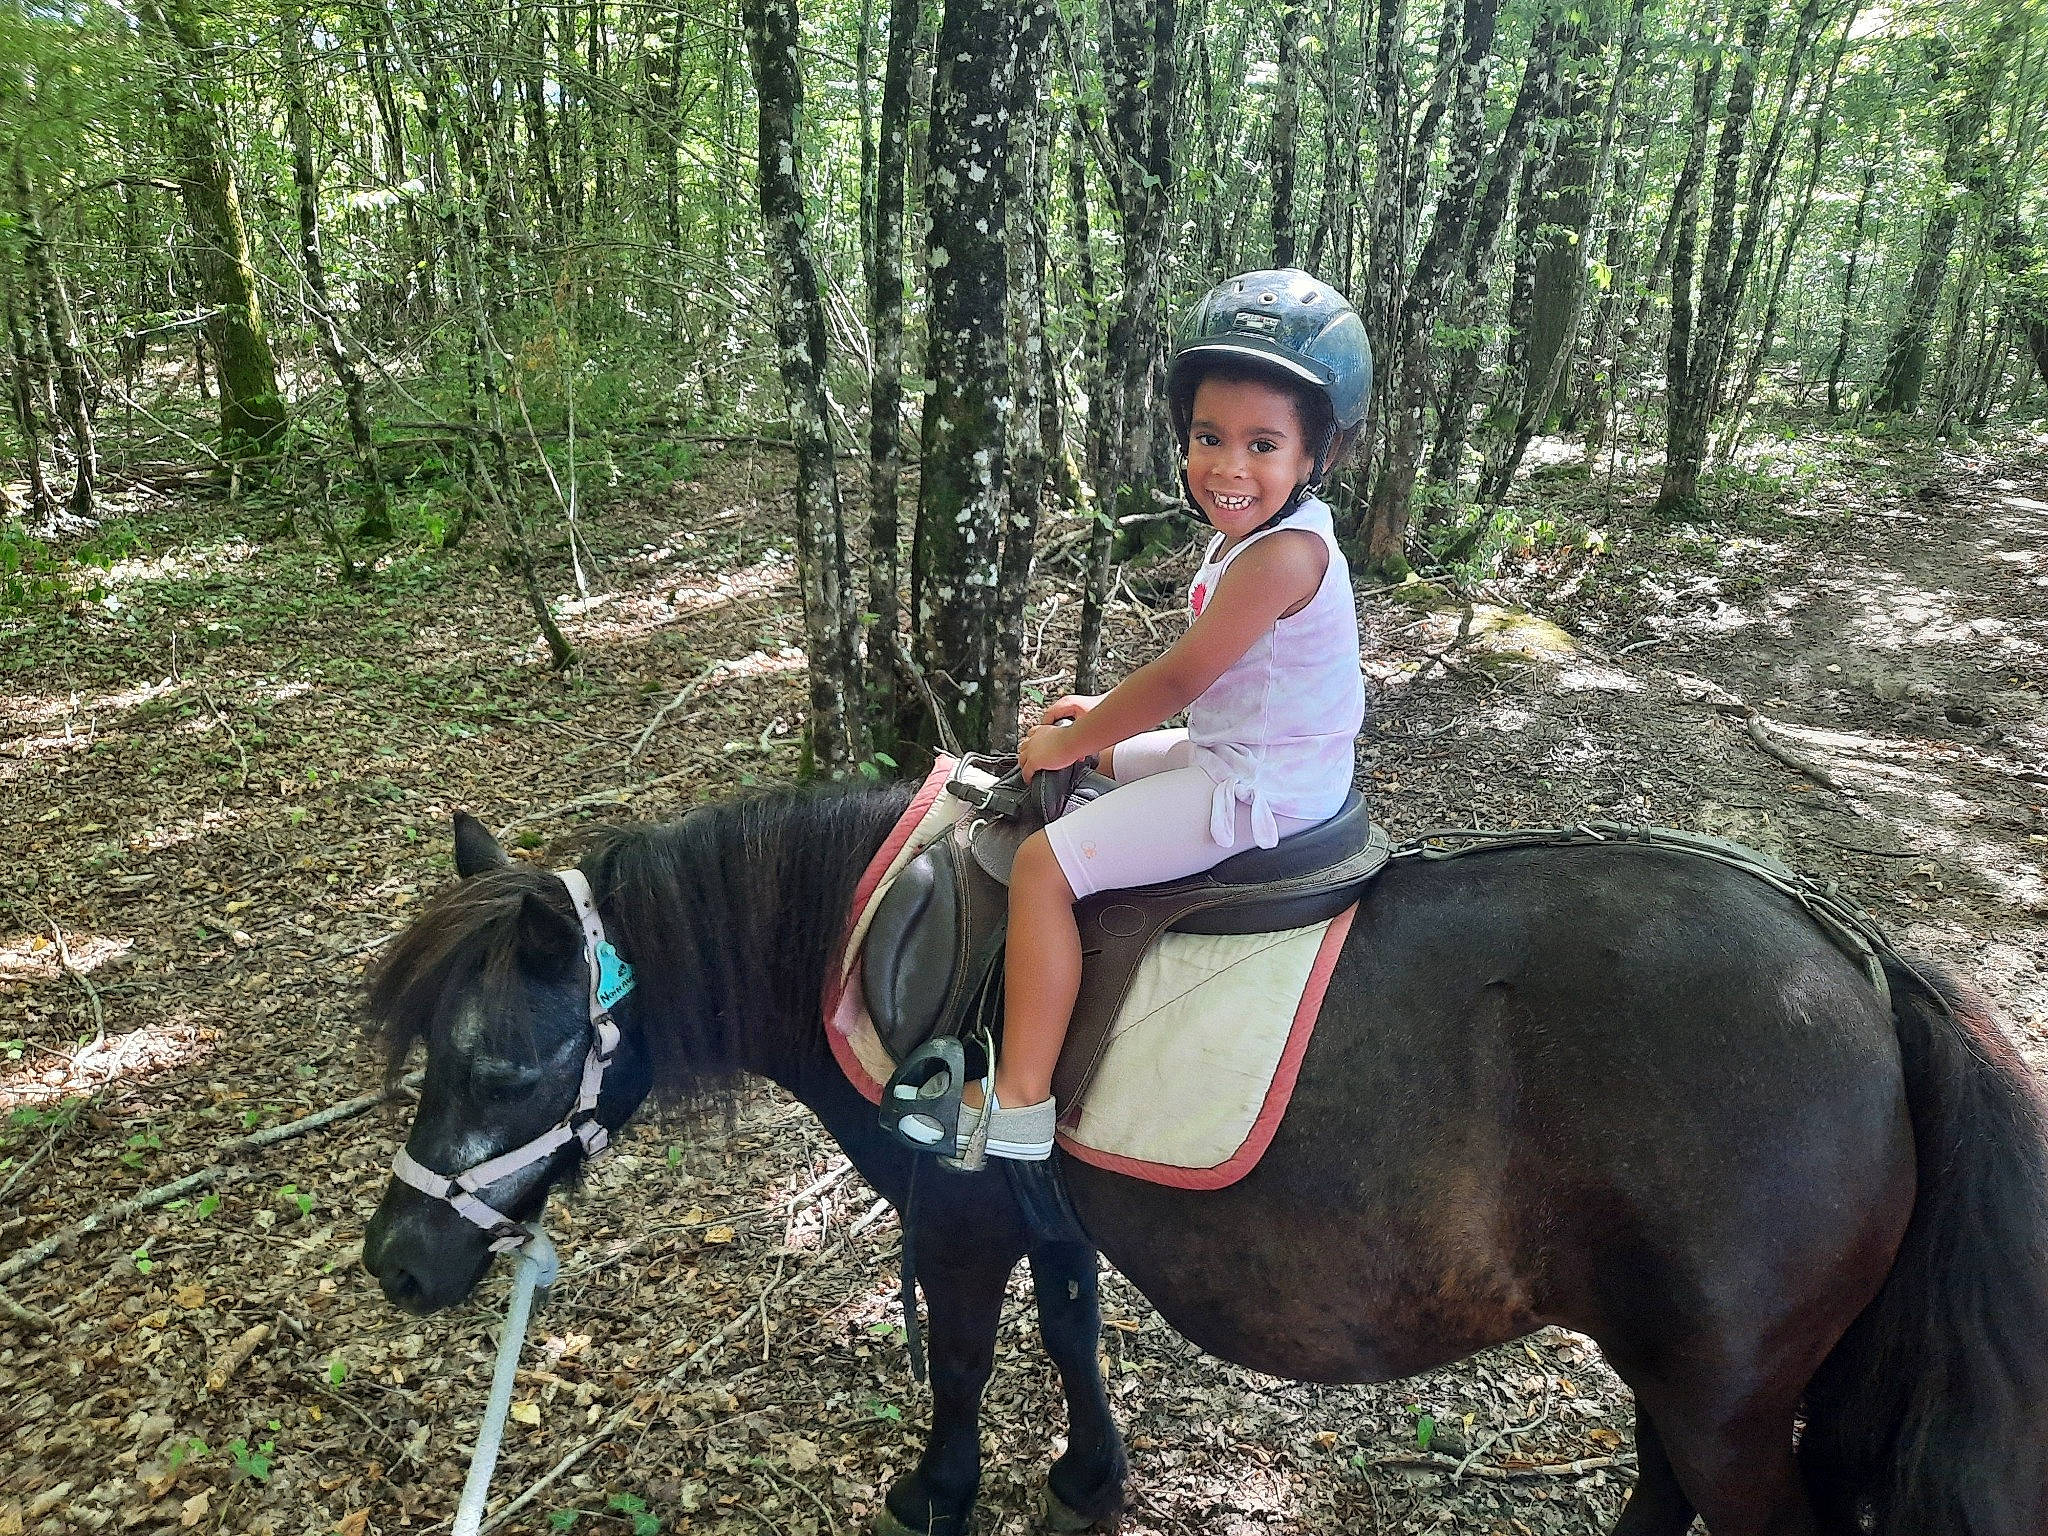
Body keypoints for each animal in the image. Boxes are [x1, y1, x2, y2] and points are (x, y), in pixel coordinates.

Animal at [360, 782, 2048, 1536]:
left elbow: (961, 1359)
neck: (893, 934)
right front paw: (1090, 1475)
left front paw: (943, 1490)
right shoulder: (1049, 1213)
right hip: (1701, 1380)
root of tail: (1860, 969)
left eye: (503, 1067)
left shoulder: (959, 1222)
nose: (396, 1261)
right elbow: (1070, 1331)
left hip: (1730, 1399)